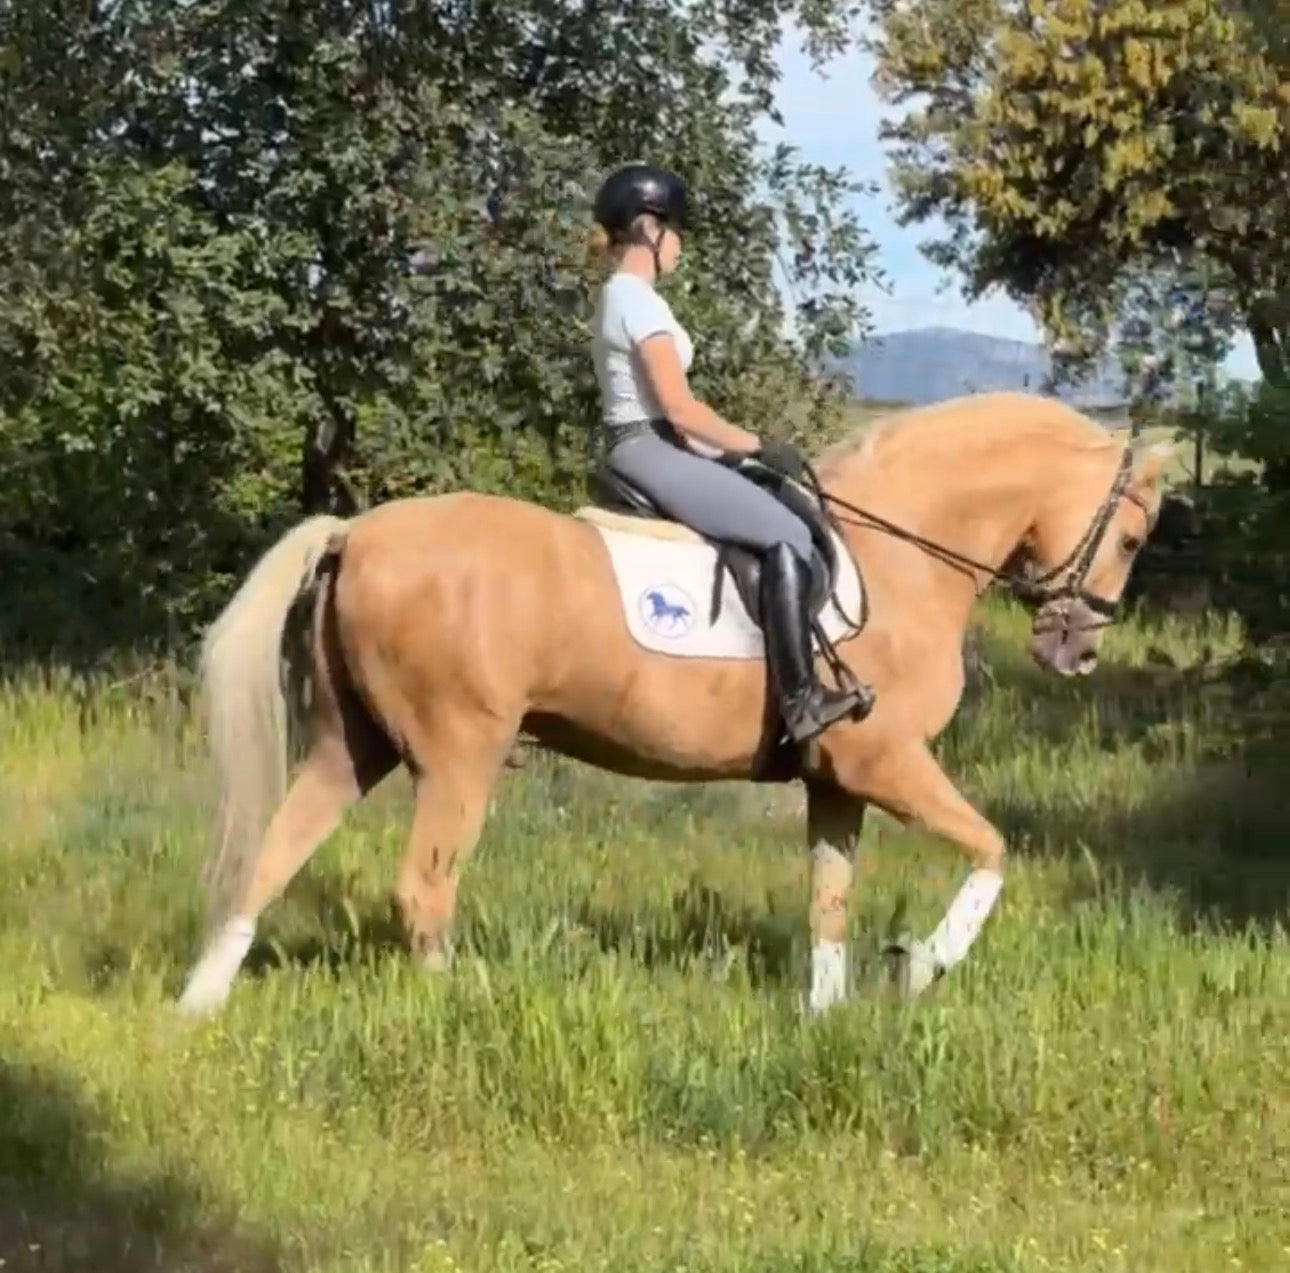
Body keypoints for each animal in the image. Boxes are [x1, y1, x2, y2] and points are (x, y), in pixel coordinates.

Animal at [176, 391, 1170, 1017]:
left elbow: (830, 898)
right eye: (1130, 537)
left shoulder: (835, 778)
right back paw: (463, 1009)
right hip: (458, 756)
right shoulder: (884, 760)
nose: (1076, 649)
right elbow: (992, 849)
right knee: (422, 887)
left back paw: (199, 1004)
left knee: (271, 855)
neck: (903, 554)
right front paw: (921, 965)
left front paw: (823, 1016)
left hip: (352, 745)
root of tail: (354, 532)